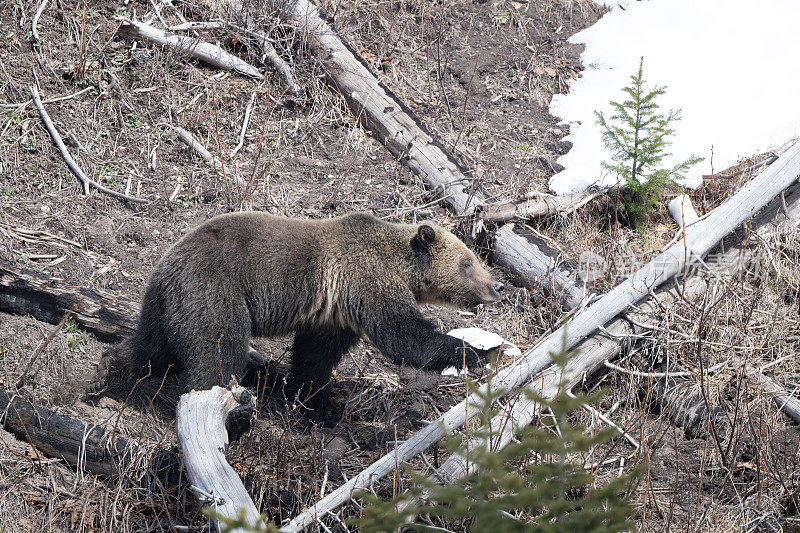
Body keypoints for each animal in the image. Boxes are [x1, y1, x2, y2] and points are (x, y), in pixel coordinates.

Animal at [90, 211, 504, 416]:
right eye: (468, 262)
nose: (497, 286)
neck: (401, 266)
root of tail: (167, 268)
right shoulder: (365, 278)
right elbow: (402, 331)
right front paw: (477, 352)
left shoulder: (334, 313)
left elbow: (314, 358)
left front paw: (313, 404)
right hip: (215, 294)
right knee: (217, 357)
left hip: (169, 307)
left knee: (151, 348)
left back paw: (108, 373)